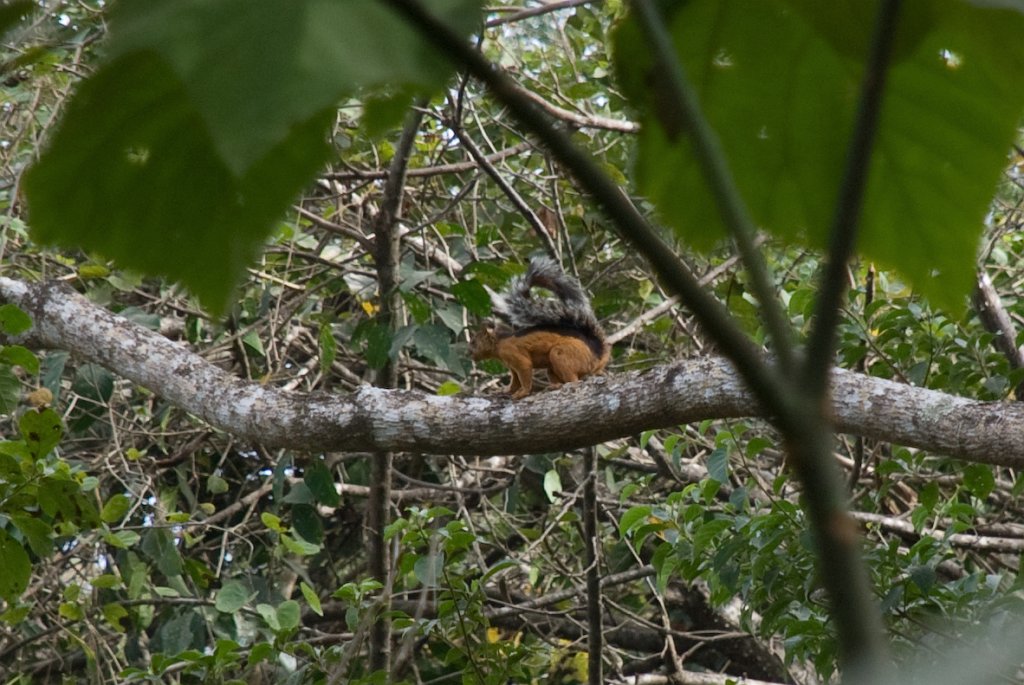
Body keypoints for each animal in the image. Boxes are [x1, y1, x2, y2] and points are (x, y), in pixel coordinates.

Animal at [470, 257, 610, 399]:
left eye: (474, 342)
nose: (468, 354)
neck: (500, 342)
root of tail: (597, 356)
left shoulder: (514, 354)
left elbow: (524, 371)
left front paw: (522, 392)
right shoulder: (511, 366)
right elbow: (514, 381)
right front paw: (505, 391)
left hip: (563, 354)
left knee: (574, 379)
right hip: (552, 368)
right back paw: (555, 385)